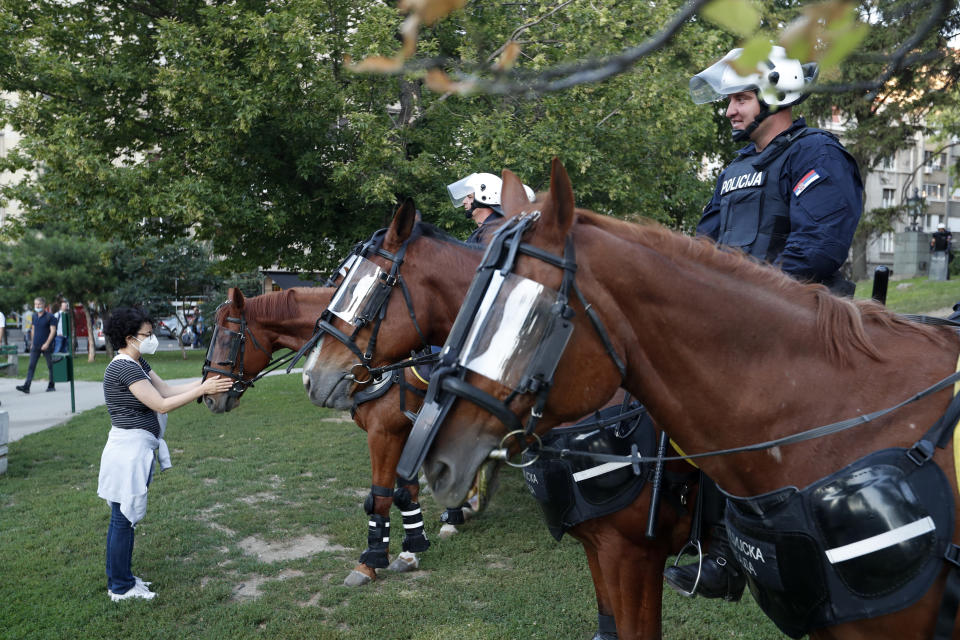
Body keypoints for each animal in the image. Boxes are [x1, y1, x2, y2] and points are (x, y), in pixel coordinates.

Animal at [204, 288, 440, 588]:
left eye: (228, 338)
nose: (208, 397)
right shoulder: (403, 433)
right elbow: (406, 492)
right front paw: (410, 553)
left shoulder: (385, 434)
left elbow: (382, 497)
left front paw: (369, 564)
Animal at [304, 202, 700, 640]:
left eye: (366, 289)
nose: (311, 377)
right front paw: (404, 549)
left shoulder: (631, 553)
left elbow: (384, 495)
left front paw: (379, 557)